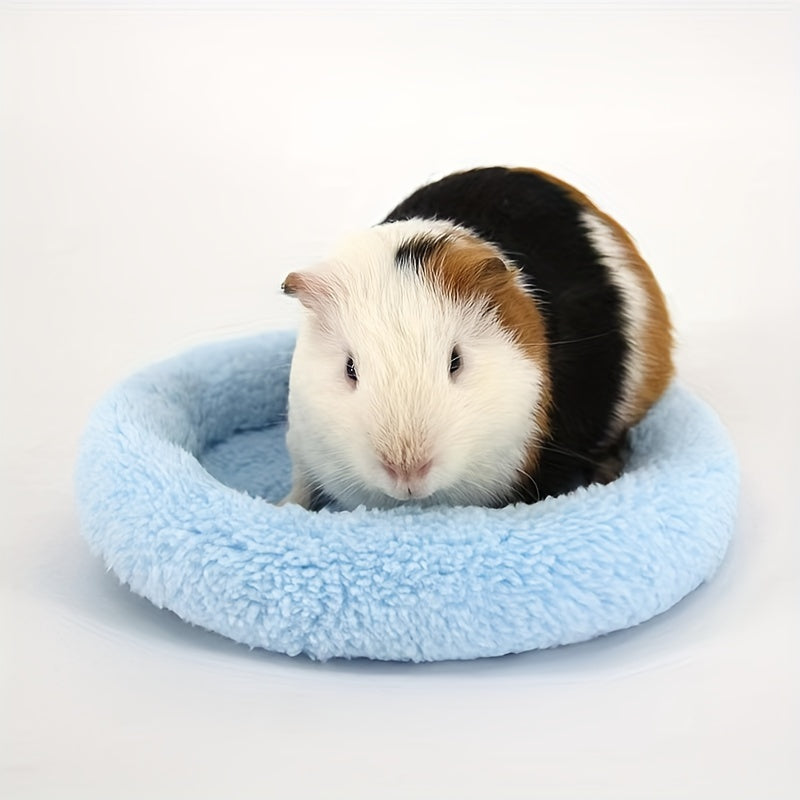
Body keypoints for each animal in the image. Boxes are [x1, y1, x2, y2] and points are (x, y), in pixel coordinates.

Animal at [280, 166, 673, 511]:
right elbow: (302, 484)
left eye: (456, 361)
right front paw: (284, 506)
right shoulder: (301, 442)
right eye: (350, 368)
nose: (407, 470)